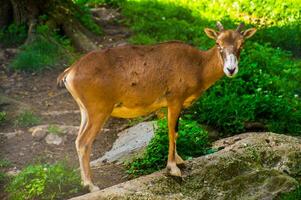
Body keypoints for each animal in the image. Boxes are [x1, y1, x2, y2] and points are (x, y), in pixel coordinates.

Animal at [56, 21, 255, 191]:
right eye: (218, 43)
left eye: (241, 44)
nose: (231, 69)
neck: (197, 65)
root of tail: (69, 73)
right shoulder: (175, 99)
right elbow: (172, 131)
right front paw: (174, 169)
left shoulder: (165, 106)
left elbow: (172, 131)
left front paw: (180, 161)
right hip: (99, 111)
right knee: (84, 142)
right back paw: (91, 186)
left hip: (85, 111)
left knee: (78, 140)